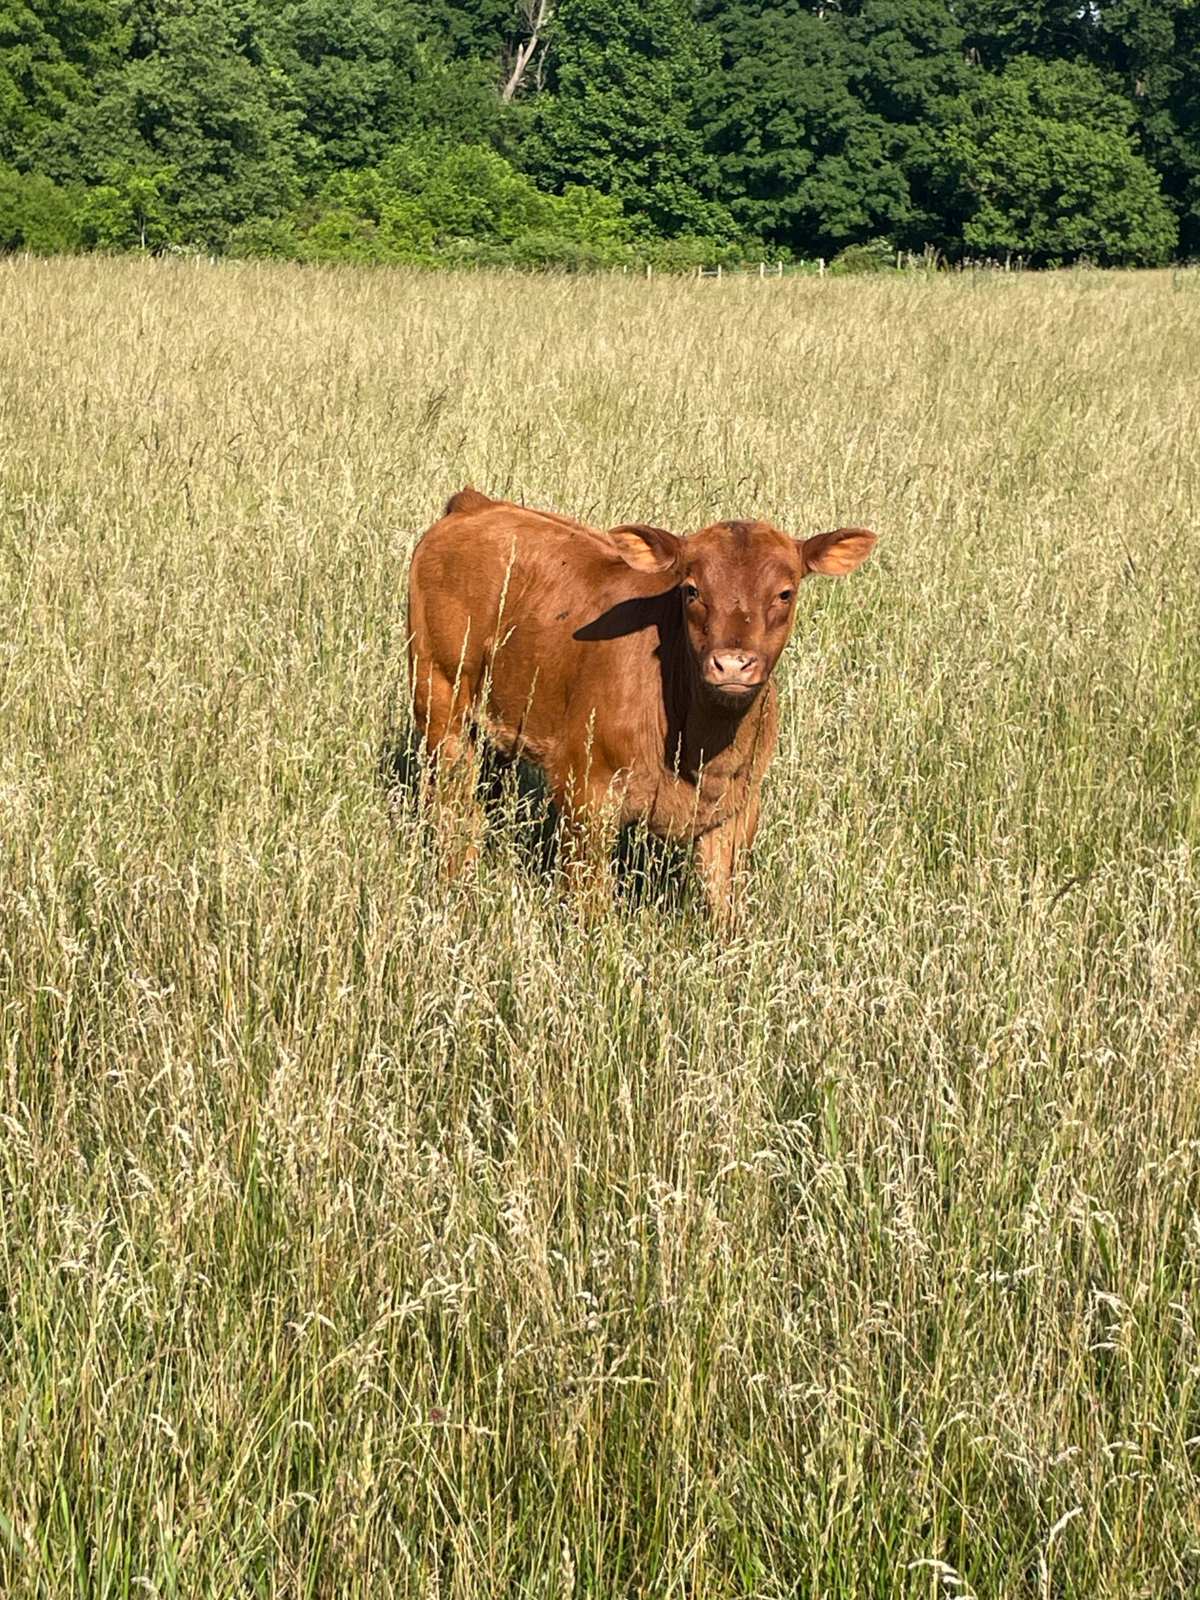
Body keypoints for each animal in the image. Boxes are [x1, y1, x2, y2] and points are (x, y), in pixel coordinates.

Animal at [407, 487, 877, 919]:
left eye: (785, 593)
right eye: (691, 590)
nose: (732, 664)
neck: (699, 747)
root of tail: (476, 504)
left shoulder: (738, 809)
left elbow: (724, 907)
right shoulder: (586, 794)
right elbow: (590, 906)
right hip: (439, 698)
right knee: (453, 807)